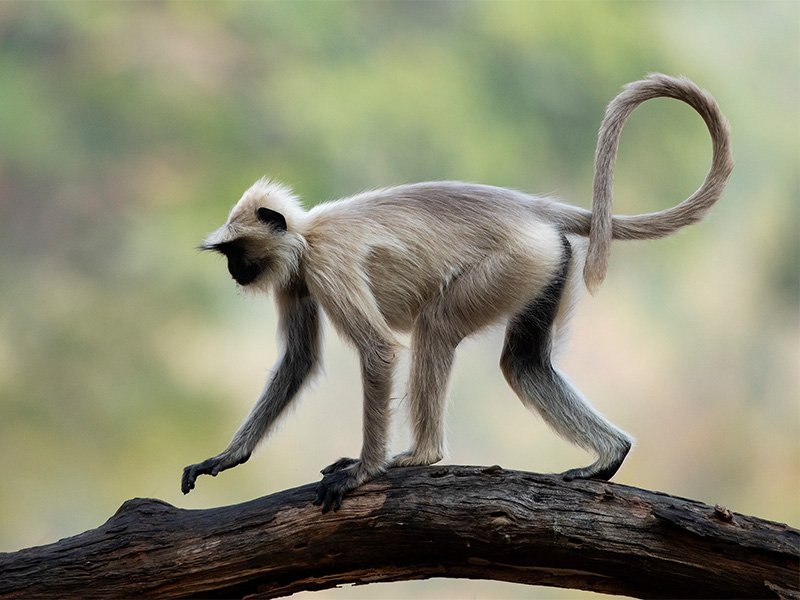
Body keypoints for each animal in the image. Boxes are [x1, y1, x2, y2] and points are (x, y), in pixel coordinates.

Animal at [181, 74, 732, 510]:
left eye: (234, 251)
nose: (233, 272)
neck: (307, 233)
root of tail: (531, 209)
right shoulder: (297, 275)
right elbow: (298, 360)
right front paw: (227, 457)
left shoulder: (326, 262)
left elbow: (378, 351)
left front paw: (364, 471)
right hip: (547, 264)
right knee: (523, 363)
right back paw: (609, 455)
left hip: (515, 262)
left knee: (436, 326)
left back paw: (419, 455)